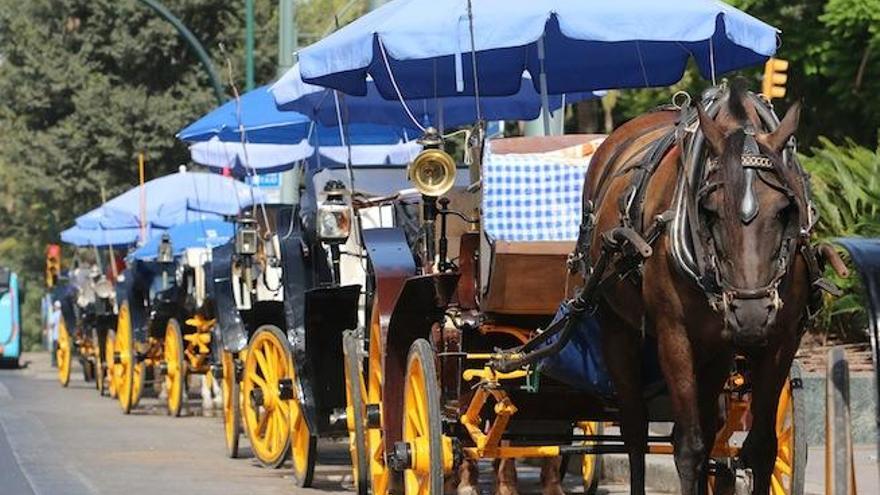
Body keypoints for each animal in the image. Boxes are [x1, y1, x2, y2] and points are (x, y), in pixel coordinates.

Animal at [580, 81, 836, 495]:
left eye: (785, 209)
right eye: (710, 210)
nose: (751, 314)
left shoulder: (780, 340)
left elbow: (762, 446)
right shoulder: (675, 336)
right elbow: (688, 446)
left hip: (717, 350)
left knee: (712, 423)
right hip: (617, 328)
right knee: (634, 429)